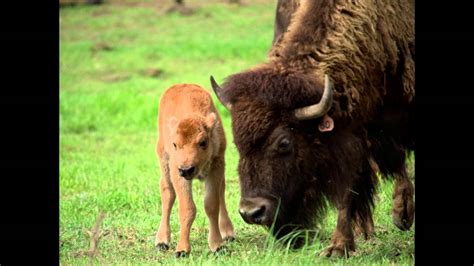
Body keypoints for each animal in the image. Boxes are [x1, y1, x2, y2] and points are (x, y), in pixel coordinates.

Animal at [155, 84, 234, 256]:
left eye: (203, 142)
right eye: (175, 144)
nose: (187, 169)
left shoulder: (217, 166)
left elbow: (212, 205)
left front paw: (218, 245)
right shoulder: (177, 172)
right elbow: (187, 208)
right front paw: (182, 250)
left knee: (222, 191)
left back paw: (228, 232)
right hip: (164, 161)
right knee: (167, 193)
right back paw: (162, 241)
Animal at [211, 0, 414, 258]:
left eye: (284, 142)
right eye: (238, 144)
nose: (251, 212)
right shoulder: (352, 135)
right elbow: (348, 189)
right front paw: (339, 247)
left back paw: (402, 215)